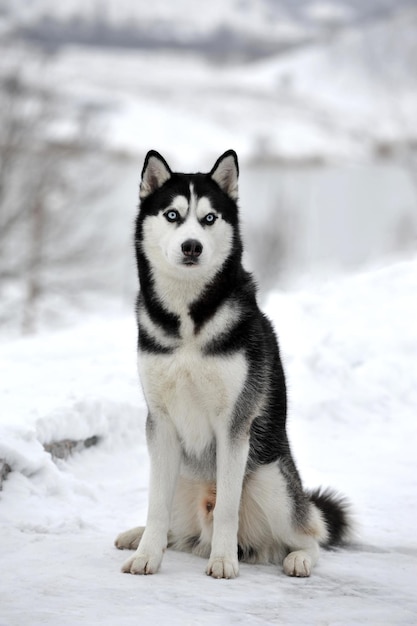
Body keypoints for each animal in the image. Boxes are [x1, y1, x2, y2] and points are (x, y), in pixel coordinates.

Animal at [114, 149, 352, 576]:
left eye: (209, 218)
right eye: (172, 215)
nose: (192, 246)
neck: (189, 322)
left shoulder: (234, 423)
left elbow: (227, 507)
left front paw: (224, 561)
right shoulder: (160, 422)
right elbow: (155, 507)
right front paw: (146, 555)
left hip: (272, 482)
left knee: (311, 534)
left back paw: (298, 558)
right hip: (180, 474)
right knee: (170, 522)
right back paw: (136, 535)